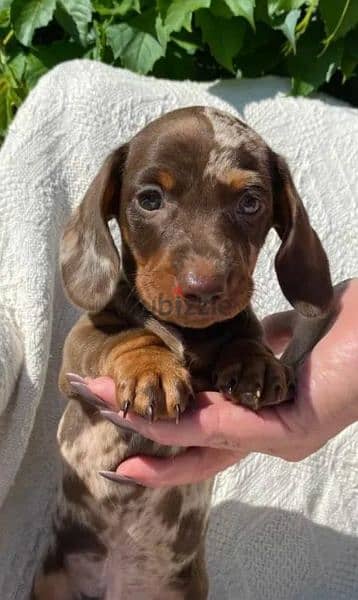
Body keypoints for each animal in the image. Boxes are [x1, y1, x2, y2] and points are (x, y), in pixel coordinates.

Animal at [32, 108, 332, 600]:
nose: (203, 287)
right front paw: (151, 370)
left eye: (250, 202)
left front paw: (256, 363)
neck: (184, 333)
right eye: (150, 199)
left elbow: (244, 337)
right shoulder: (78, 350)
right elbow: (126, 337)